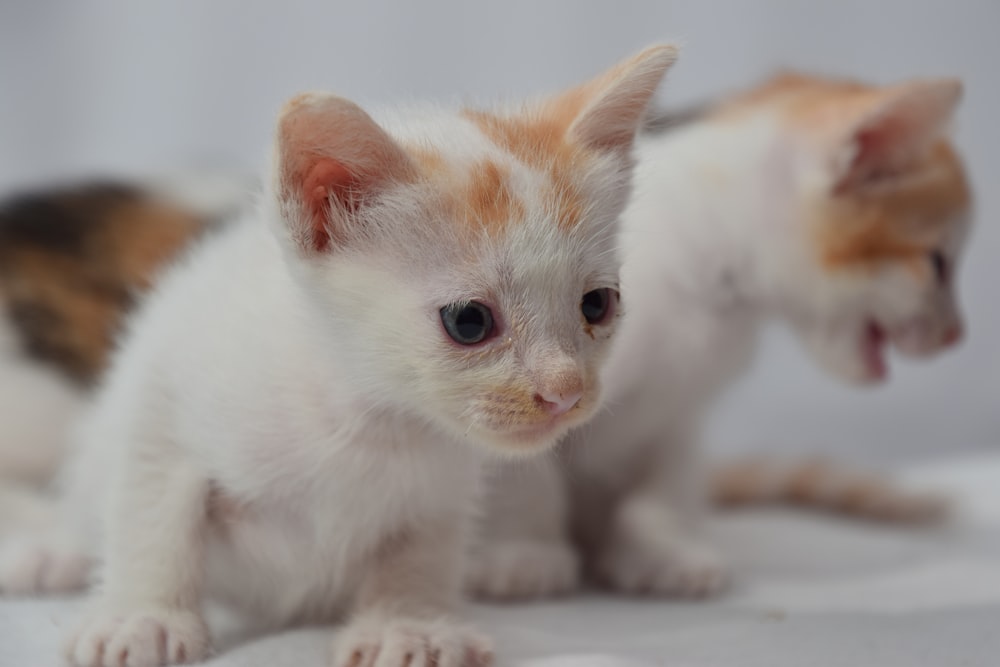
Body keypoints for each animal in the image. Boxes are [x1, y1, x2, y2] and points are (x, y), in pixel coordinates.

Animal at [0, 47, 680, 667]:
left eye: (597, 304)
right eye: (469, 321)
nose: (565, 392)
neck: (363, 418)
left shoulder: (439, 486)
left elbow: (421, 549)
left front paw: (409, 625)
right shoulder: (166, 396)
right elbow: (153, 513)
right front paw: (144, 619)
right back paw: (50, 552)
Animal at [470, 72, 976, 600]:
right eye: (938, 264)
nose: (956, 335)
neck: (708, 266)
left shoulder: (679, 408)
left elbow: (666, 477)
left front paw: (662, 551)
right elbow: (521, 466)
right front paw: (525, 553)